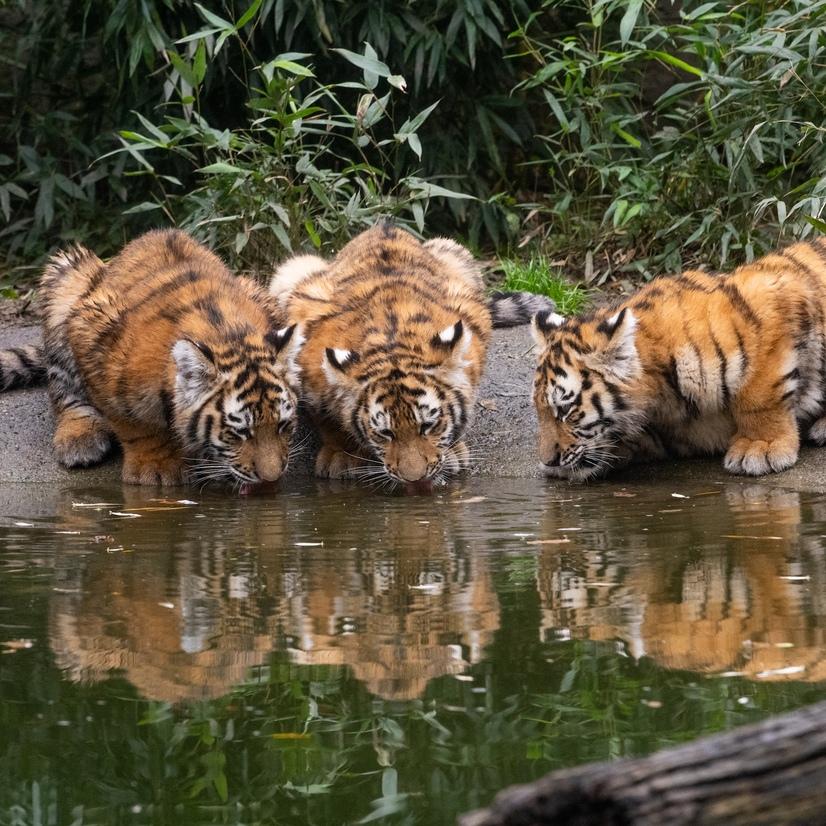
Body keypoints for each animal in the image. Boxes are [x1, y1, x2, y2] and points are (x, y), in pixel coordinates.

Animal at [0, 229, 302, 487]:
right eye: (239, 433)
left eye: (283, 425)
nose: (271, 478)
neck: (226, 334)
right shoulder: (92, 331)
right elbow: (135, 422)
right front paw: (155, 468)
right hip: (67, 274)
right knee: (65, 391)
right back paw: (80, 439)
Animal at [269, 221, 555, 487]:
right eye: (385, 433)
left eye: (428, 425)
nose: (415, 480)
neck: (391, 342)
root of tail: (384, 225)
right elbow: (327, 419)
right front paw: (341, 457)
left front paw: (452, 451)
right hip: (295, 267)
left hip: (453, 252)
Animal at [531, 236, 826, 480]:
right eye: (540, 411)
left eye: (565, 410)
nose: (548, 461)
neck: (661, 396)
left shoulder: (768, 299)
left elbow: (758, 395)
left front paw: (759, 447)